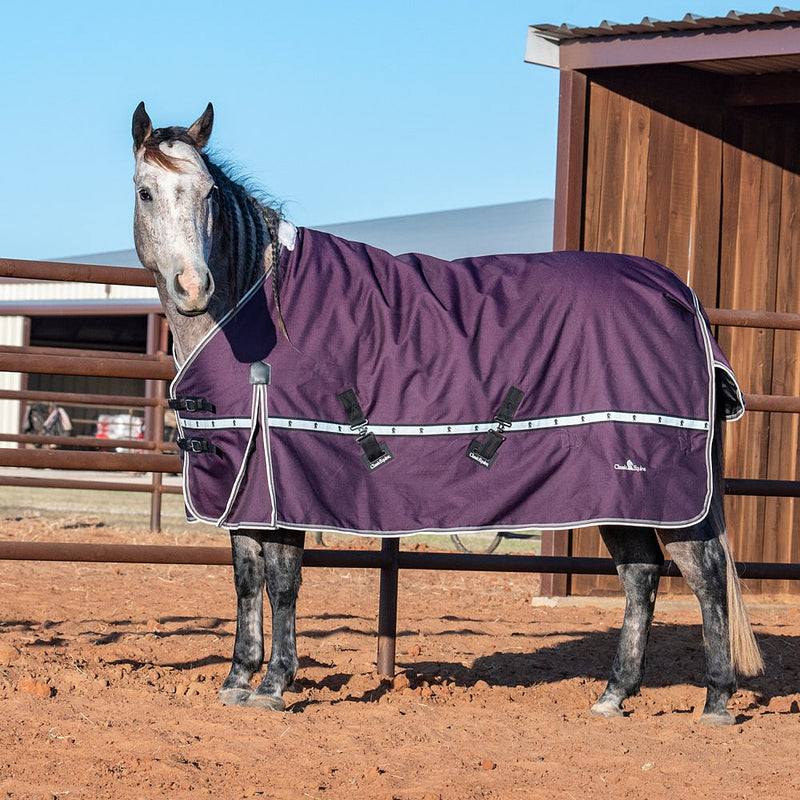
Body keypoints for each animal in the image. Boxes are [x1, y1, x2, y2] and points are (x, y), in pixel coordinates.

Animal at [132, 102, 763, 724]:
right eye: (145, 192)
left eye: (209, 193)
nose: (193, 285)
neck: (256, 310)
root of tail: (680, 294)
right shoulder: (246, 488)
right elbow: (247, 579)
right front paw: (238, 680)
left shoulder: (285, 484)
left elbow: (283, 581)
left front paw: (274, 686)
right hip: (619, 492)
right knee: (641, 575)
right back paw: (614, 695)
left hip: (666, 489)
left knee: (704, 573)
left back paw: (716, 701)